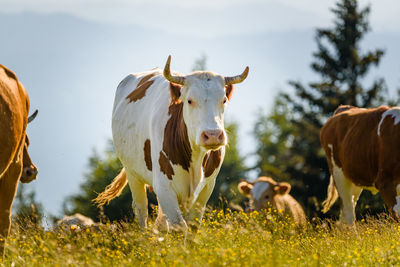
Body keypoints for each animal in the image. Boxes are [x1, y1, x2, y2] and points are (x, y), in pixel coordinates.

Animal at [95, 56, 248, 232]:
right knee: (141, 209)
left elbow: (192, 225)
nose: (213, 135)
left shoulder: (207, 187)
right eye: (189, 101)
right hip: (132, 173)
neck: (195, 160)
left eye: (223, 100)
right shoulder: (164, 186)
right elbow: (179, 226)